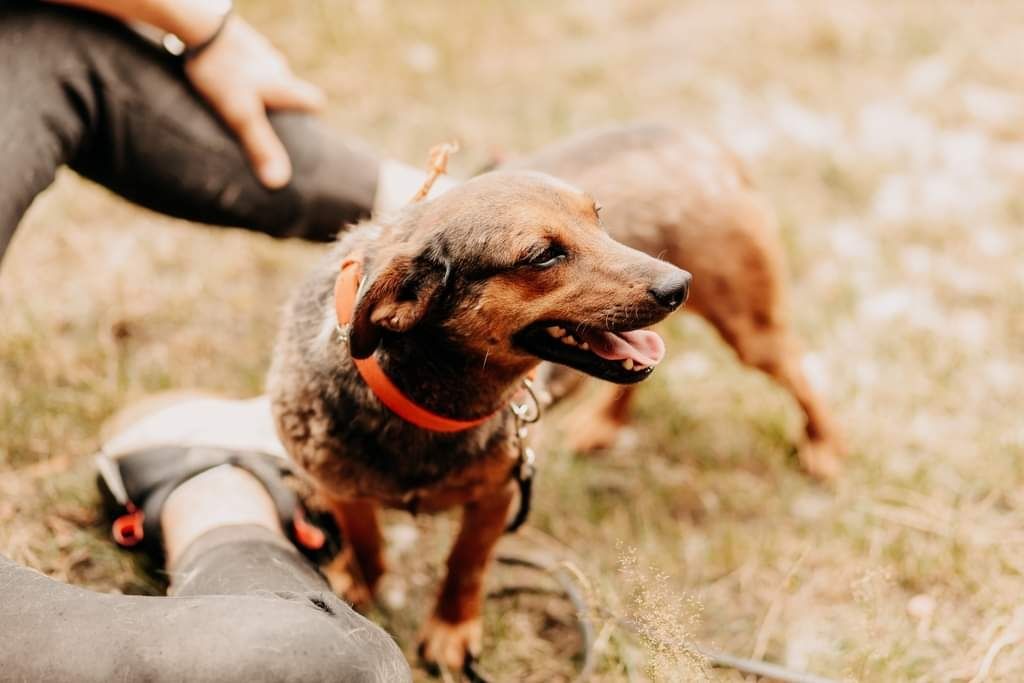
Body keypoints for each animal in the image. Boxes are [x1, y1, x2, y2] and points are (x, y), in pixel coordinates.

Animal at [268, 169, 692, 667]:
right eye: (543, 256)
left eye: (598, 217)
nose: (680, 286)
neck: (426, 407)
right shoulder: (343, 490)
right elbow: (367, 543)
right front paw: (358, 583)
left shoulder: (500, 491)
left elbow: (466, 562)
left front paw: (451, 630)